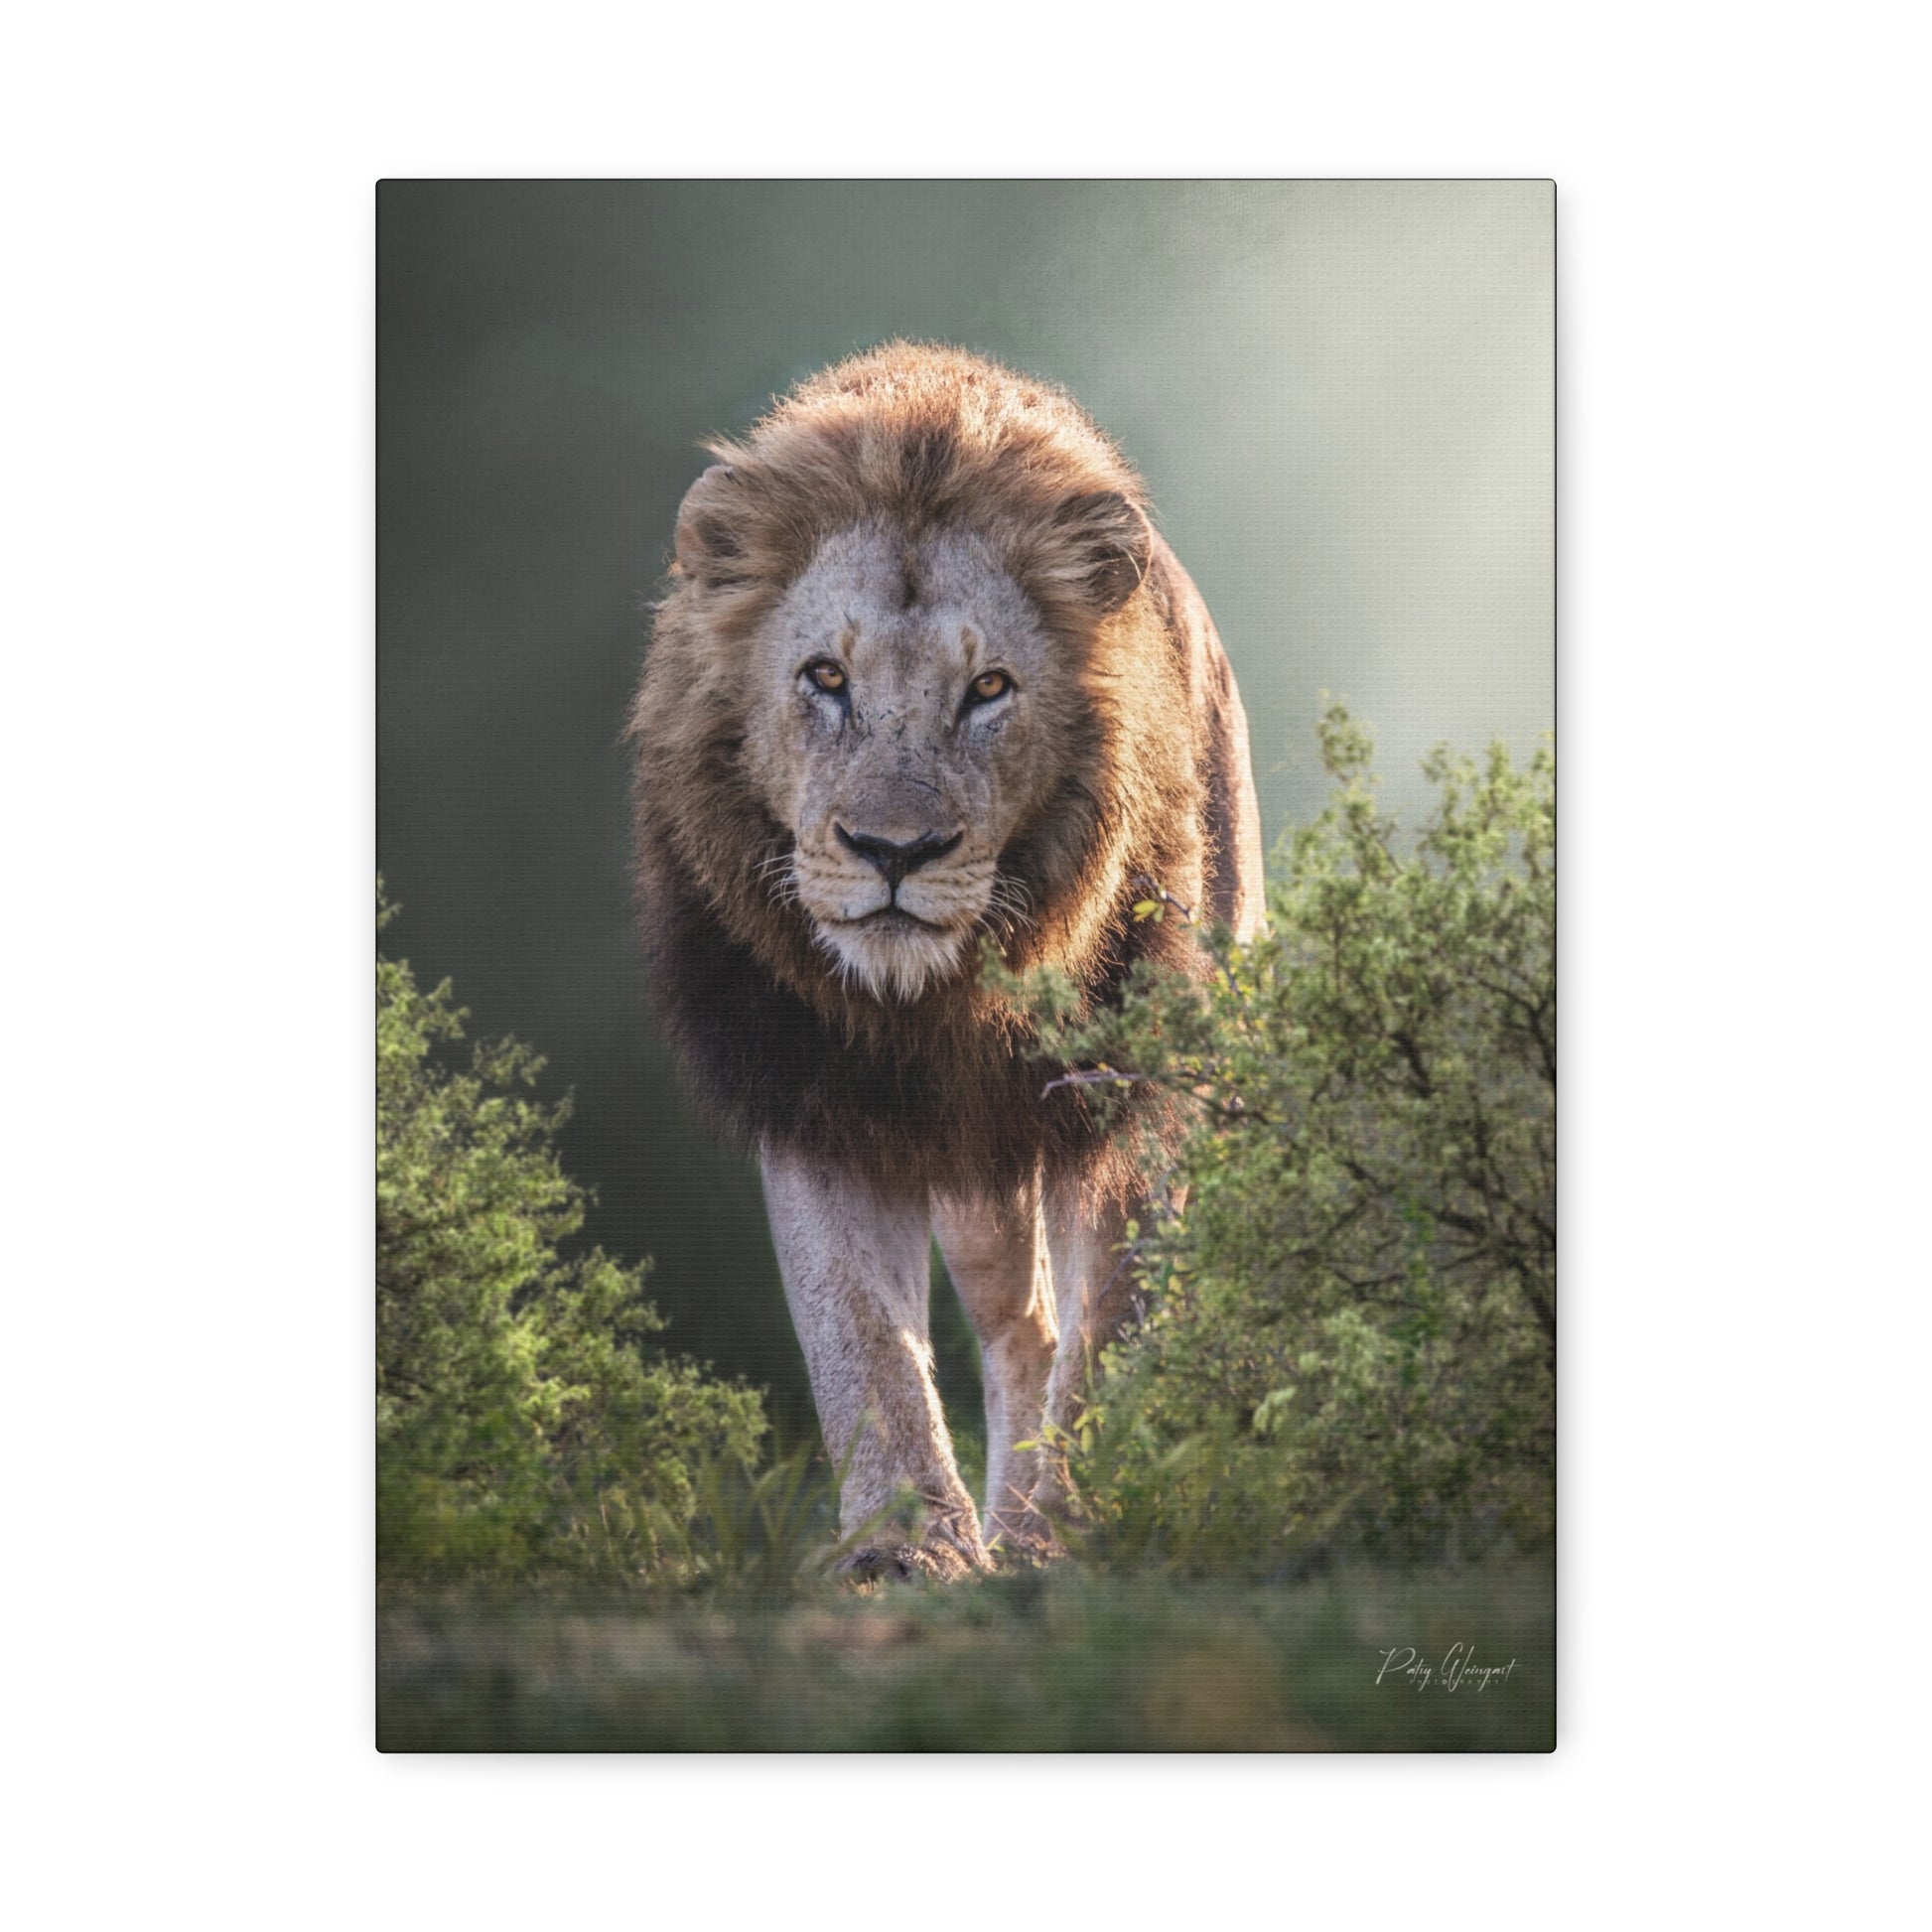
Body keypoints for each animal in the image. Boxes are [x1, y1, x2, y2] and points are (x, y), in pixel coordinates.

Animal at [628, 343, 1264, 1576]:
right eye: (825, 677)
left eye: (988, 689)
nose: (892, 850)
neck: (938, 1001)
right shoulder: (810, 1085)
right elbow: (859, 1334)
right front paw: (903, 1546)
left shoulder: (1133, 1095)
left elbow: (1113, 1325)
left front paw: (1062, 1536)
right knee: (1021, 1327)